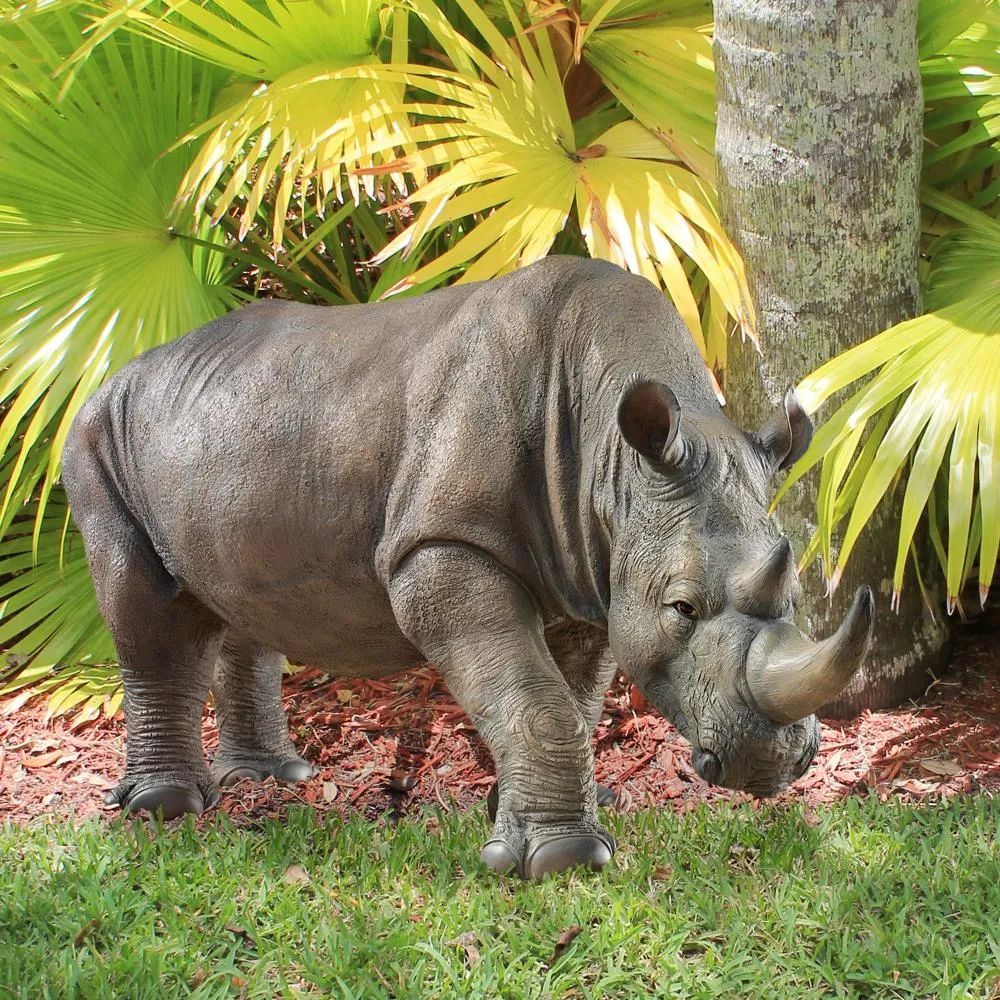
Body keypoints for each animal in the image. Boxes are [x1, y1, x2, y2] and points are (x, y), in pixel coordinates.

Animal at [61, 255, 873, 879]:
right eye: (682, 608)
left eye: (795, 599)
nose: (771, 765)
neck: (616, 468)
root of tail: (112, 376)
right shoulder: (443, 545)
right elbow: (540, 699)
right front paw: (565, 862)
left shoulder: (591, 570)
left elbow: (567, 698)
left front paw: (519, 822)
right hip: (95, 437)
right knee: (152, 618)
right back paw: (166, 809)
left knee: (241, 599)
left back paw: (272, 779)